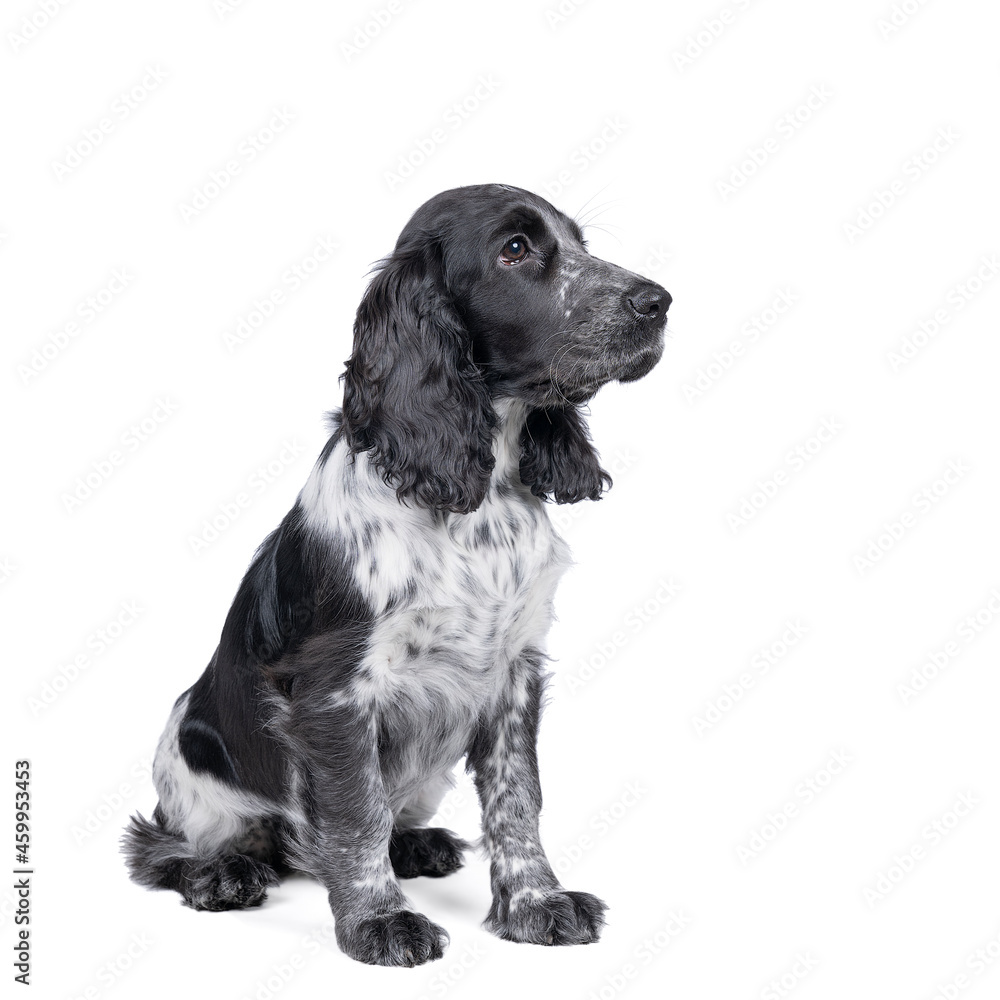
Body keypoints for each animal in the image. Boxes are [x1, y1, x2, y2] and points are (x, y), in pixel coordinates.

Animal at [127, 184, 672, 964]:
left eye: (580, 243)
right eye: (515, 249)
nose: (658, 301)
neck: (478, 491)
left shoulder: (515, 670)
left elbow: (519, 799)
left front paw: (536, 903)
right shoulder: (335, 690)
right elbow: (355, 813)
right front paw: (379, 922)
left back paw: (418, 845)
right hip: (185, 749)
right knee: (170, 844)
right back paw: (222, 871)